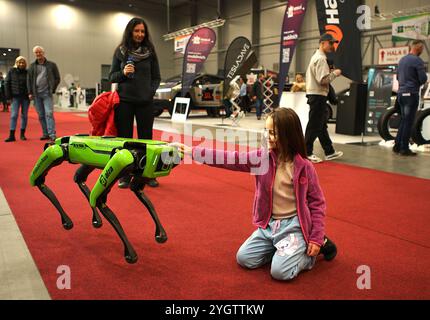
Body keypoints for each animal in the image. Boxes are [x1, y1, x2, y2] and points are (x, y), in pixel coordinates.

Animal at [28, 134, 183, 264]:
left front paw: (160, 233)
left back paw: (94, 218)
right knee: (47, 167)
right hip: (63, 153)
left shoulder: (134, 170)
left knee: (79, 179)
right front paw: (130, 253)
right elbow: (98, 199)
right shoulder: (123, 158)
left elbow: (137, 192)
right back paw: (68, 218)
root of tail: (59, 139)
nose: (175, 156)